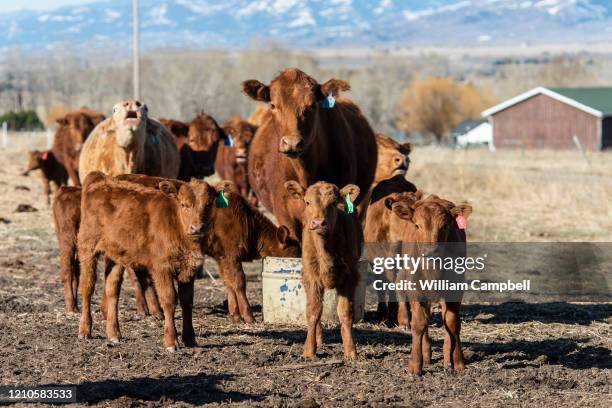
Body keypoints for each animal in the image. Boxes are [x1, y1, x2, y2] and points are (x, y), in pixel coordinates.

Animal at [77, 172, 218, 350]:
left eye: (208, 205)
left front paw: (190, 339)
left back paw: (114, 334)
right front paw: (171, 341)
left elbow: (187, 301)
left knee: (112, 290)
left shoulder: (189, 270)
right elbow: (169, 300)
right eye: (184, 205)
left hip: (116, 256)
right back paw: (84, 330)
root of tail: (101, 178)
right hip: (87, 247)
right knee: (87, 287)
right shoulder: (162, 268)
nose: (197, 228)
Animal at [286, 180, 364, 358]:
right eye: (307, 202)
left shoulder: (350, 276)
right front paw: (309, 349)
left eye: (334, 203)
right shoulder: (310, 276)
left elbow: (345, 312)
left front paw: (350, 351)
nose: (318, 223)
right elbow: (313, 311)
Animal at [388, 193, 474, 374]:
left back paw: (446, 358)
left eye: (445, 227)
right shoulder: (415, 288)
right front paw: (415, 364)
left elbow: (452, 323)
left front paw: (458, 361)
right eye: (417, 225)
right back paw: (426, 354)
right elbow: (419, 323)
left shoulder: (456, 288)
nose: (430, 251)